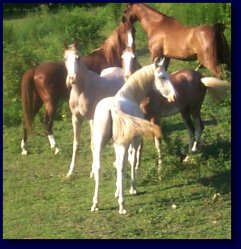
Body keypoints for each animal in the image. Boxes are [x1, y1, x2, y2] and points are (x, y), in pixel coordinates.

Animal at [20, 16, 136, 155]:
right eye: (124, 32)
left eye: (134, 30)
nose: (131, 47)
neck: (106, 57)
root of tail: (35, 70)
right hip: (50, 103)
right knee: (47, 123)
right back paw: (56, 147)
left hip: (38, 101)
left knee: (27, 120)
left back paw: (25, 148)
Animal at [90, 57, 177, 214]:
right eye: (162, 76)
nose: (173, 96)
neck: (129, 97)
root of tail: (112, 109)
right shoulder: (135, 140)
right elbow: (133, 160)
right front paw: (132, 188)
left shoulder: (116, 143)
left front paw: (117, 190)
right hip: (124, 144)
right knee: (122, 165)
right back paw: (122, 206)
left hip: (101, 143)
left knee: (99, 167)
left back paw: (95, 204)